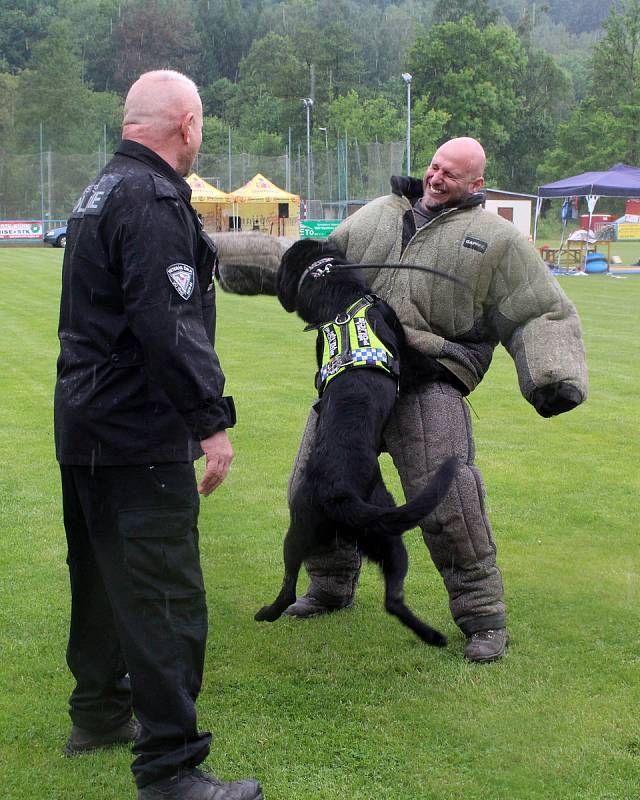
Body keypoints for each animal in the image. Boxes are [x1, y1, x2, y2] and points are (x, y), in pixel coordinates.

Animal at [252, 241, 458, 648]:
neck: (340, 300)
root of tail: (337, 492)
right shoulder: (407, 352)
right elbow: (427, 365)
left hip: (298, 534)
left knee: (287, 588)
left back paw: (267, 613)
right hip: (389, 532)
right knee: (393, 599)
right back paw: (433, 636)